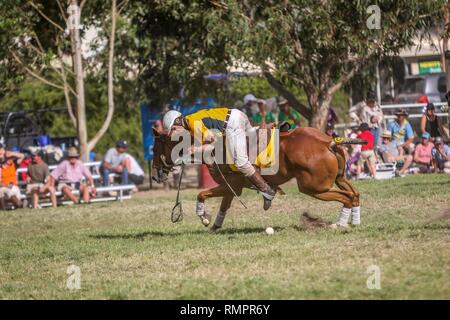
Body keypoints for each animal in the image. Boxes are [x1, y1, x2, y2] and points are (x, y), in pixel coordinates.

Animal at [152, 127, 366, 230]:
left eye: (154, 148)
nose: (154, 175)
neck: (212, 149)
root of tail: (328, 142)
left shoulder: (232, 186)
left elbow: (201, 194)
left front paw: (204, 217)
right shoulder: (231, 188)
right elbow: (223, 207)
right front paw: (214, 225)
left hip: (313, 187)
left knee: (346, 197)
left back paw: (340, 224)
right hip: (338, 179)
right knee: (355, 194)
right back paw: (355, 222)